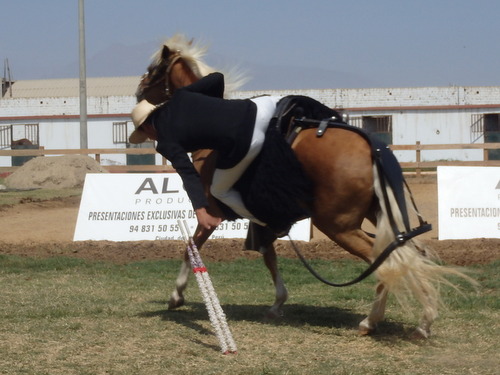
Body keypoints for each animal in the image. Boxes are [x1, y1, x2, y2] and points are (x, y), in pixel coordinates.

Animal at [136, 34, 472, 340]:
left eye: (152, 70)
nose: (138, 90)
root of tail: (371, 148)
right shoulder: (266, 220)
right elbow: (269, 256)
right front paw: (277, 303)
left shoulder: (214, 211)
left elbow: (191, 247)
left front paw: (177, 295)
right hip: (378, 218)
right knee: (405, 255)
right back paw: (421, 321)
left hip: (338, 226)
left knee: (388, 263)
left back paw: (373, 321)